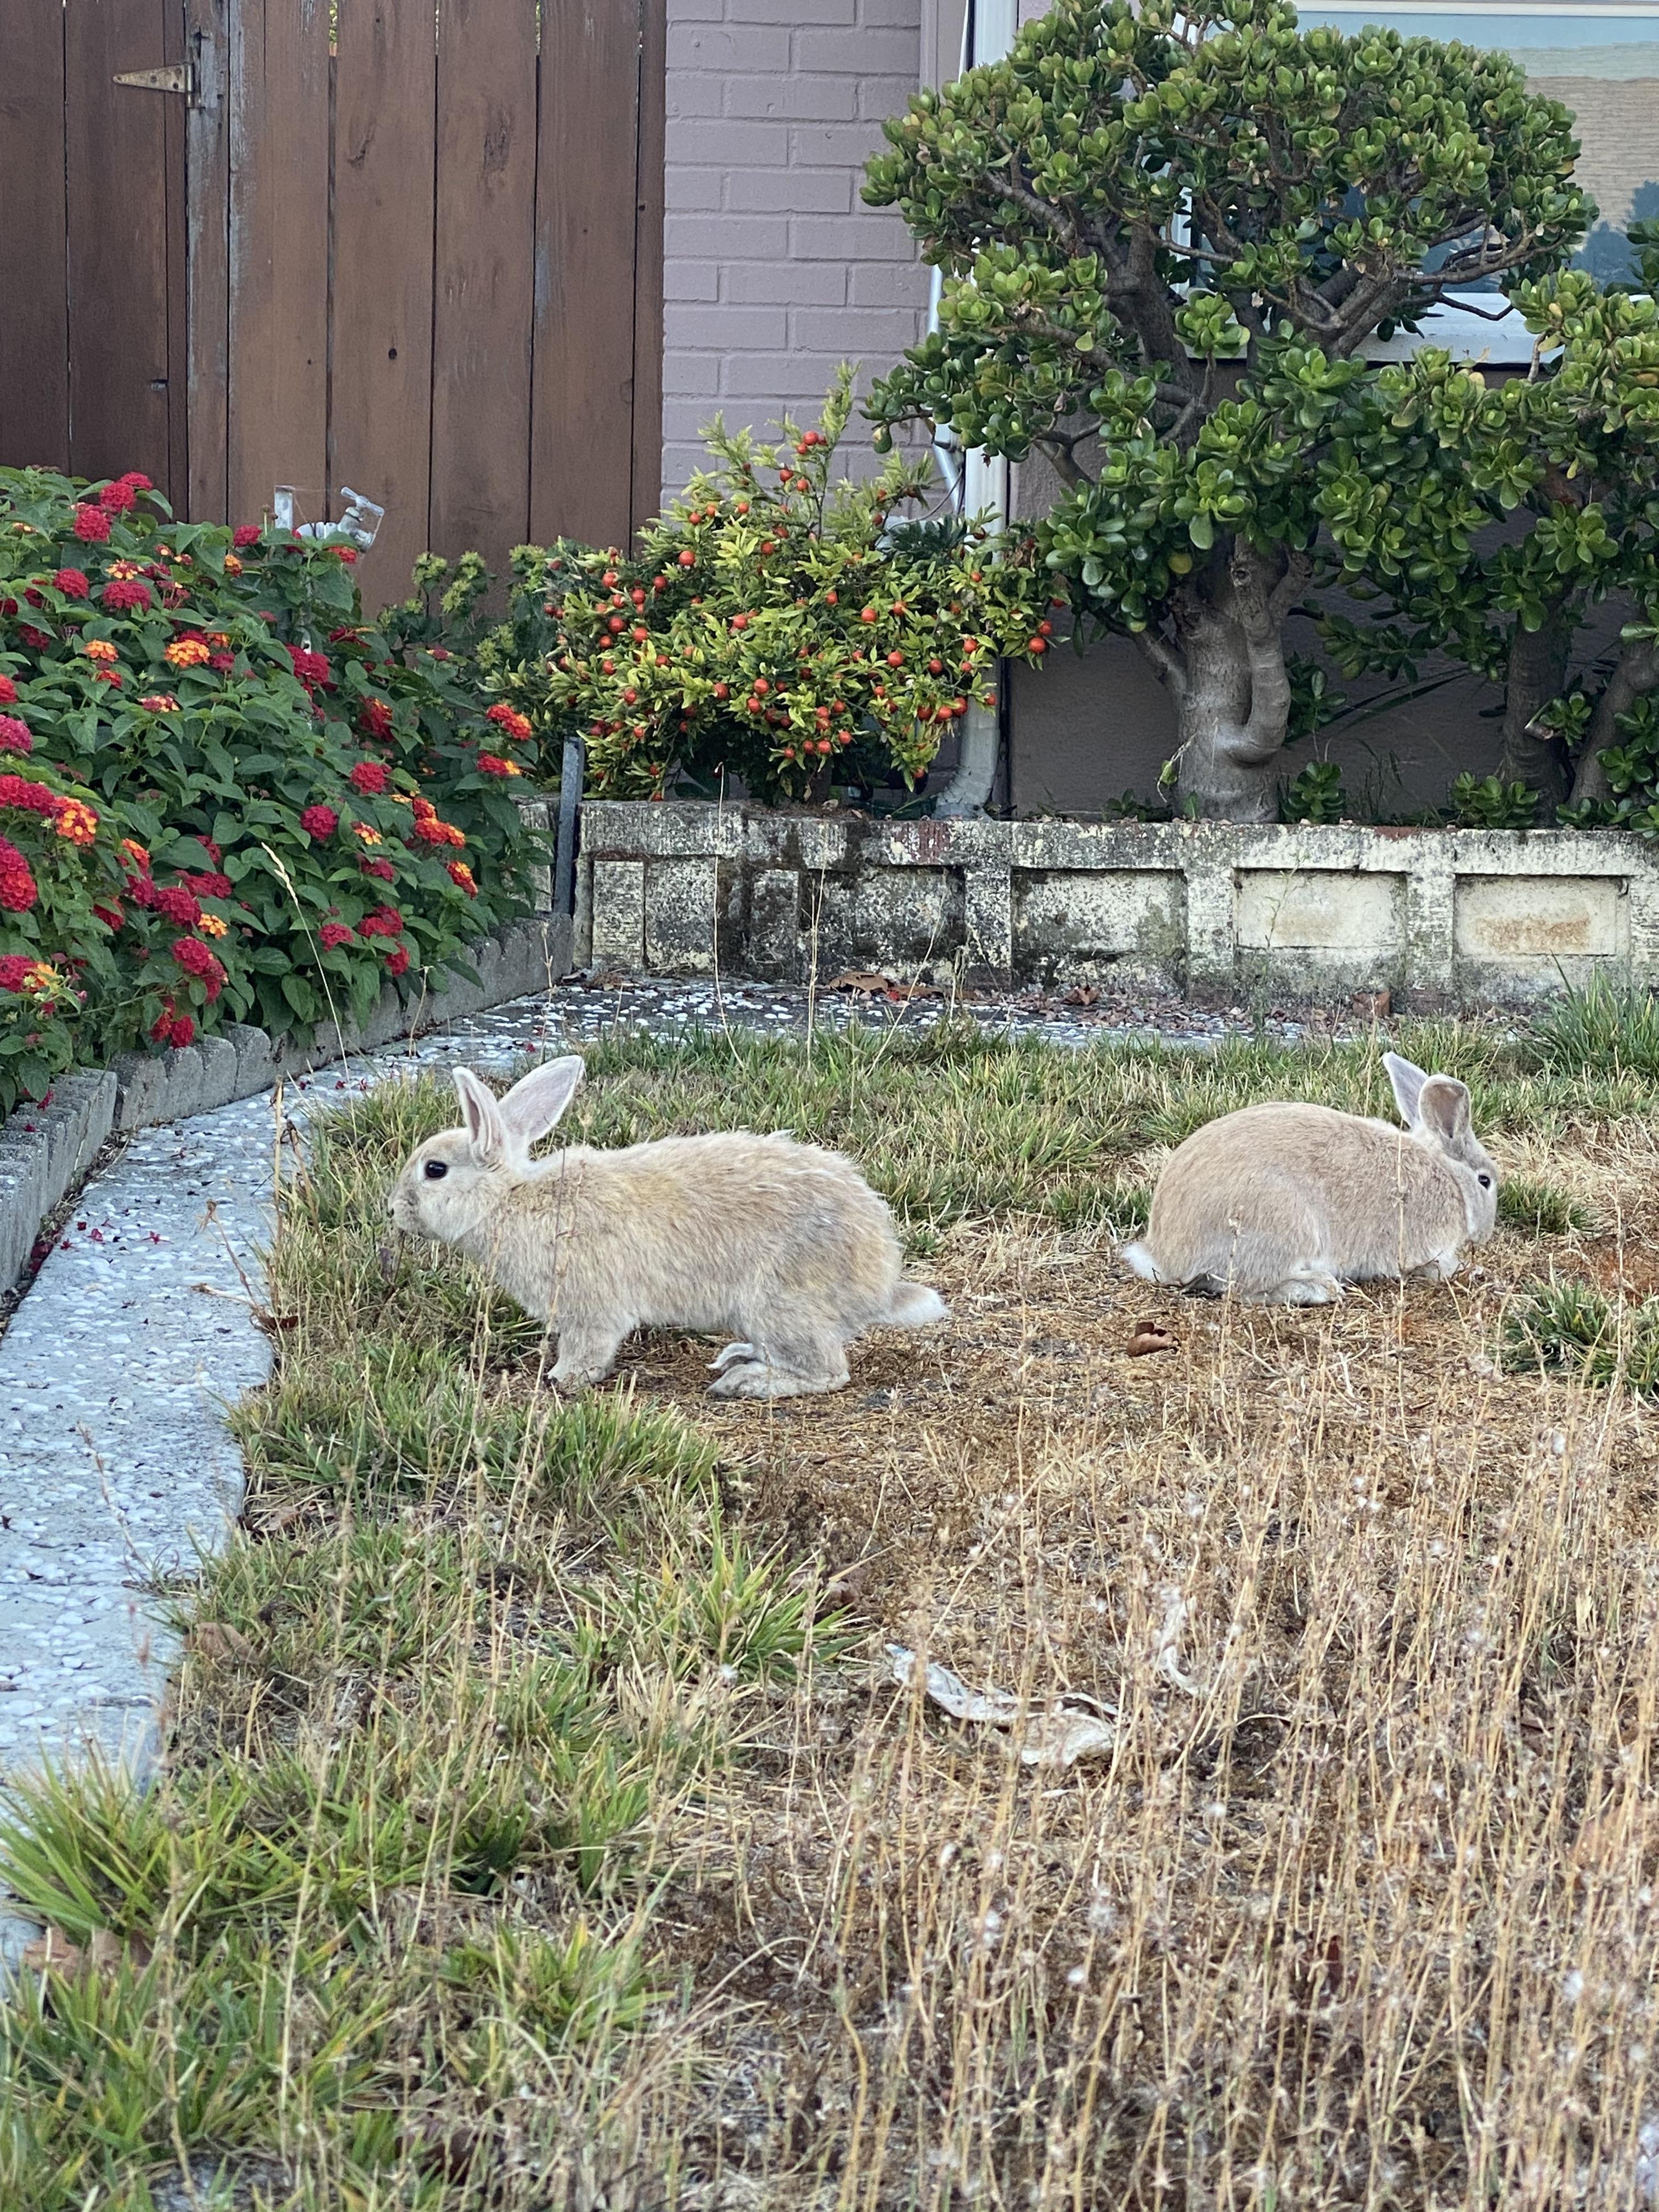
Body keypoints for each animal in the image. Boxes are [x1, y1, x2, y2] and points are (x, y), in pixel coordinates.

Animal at [387, 1058, 950, 1398]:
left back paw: (746, 1382)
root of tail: (880, 1281)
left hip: (780, 1304)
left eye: (434, 1170)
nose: (393, 1210)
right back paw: (738, 1357)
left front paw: (563, 1380)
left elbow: (589, 1349)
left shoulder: (592, 1309)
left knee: (828, 1371)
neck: (509, 1200)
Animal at [1118, 1051, 1499, 1305]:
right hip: (1283, 1225)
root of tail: (1163, 1255)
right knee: (1245, 1288)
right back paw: (1321, 1287)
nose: (1486, 1234)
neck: (1448, 1176)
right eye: (1485, 1181)